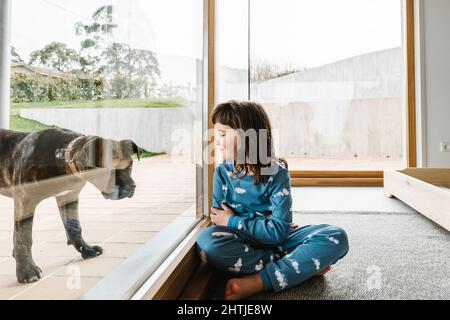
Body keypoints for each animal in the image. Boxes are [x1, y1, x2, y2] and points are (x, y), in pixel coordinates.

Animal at [0, 127, 140, 282]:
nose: (130, 187)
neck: (63, 156)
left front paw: (86, 249)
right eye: (108, 169)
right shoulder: (25, 201)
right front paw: (26, 270)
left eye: (130, 166)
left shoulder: (68, 197)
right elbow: (23, 237)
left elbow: (74, 227)